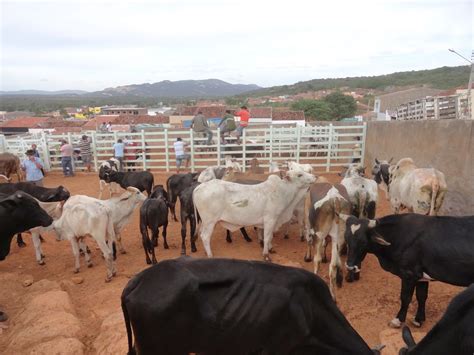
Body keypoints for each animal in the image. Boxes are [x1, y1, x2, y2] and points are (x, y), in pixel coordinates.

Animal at [338, 213, 474, 330]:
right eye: (346, 239)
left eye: (363, 241)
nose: (350, 267)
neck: (398, 235)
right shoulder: (421, 277)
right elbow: (421, 296)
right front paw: (418, 320)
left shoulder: (409, 274)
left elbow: (405, 297)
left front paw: (397, 320)